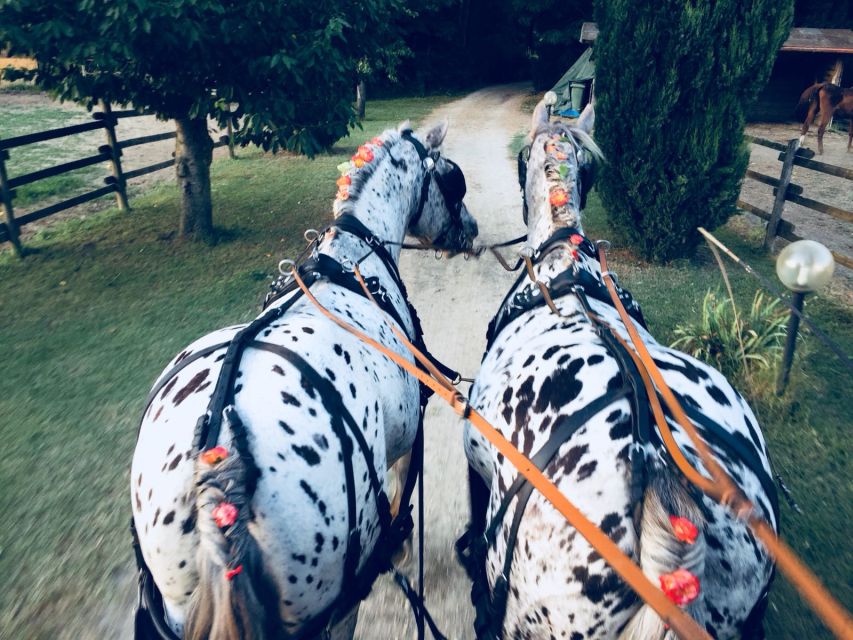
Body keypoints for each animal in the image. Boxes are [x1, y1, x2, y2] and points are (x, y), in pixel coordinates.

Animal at [133, 121, 480, 640]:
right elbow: (403, 489)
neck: (351, 264)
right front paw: (401, 541)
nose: (472, 230)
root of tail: (221, 451)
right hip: (332, 595)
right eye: (452, 180)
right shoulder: (406, 435)